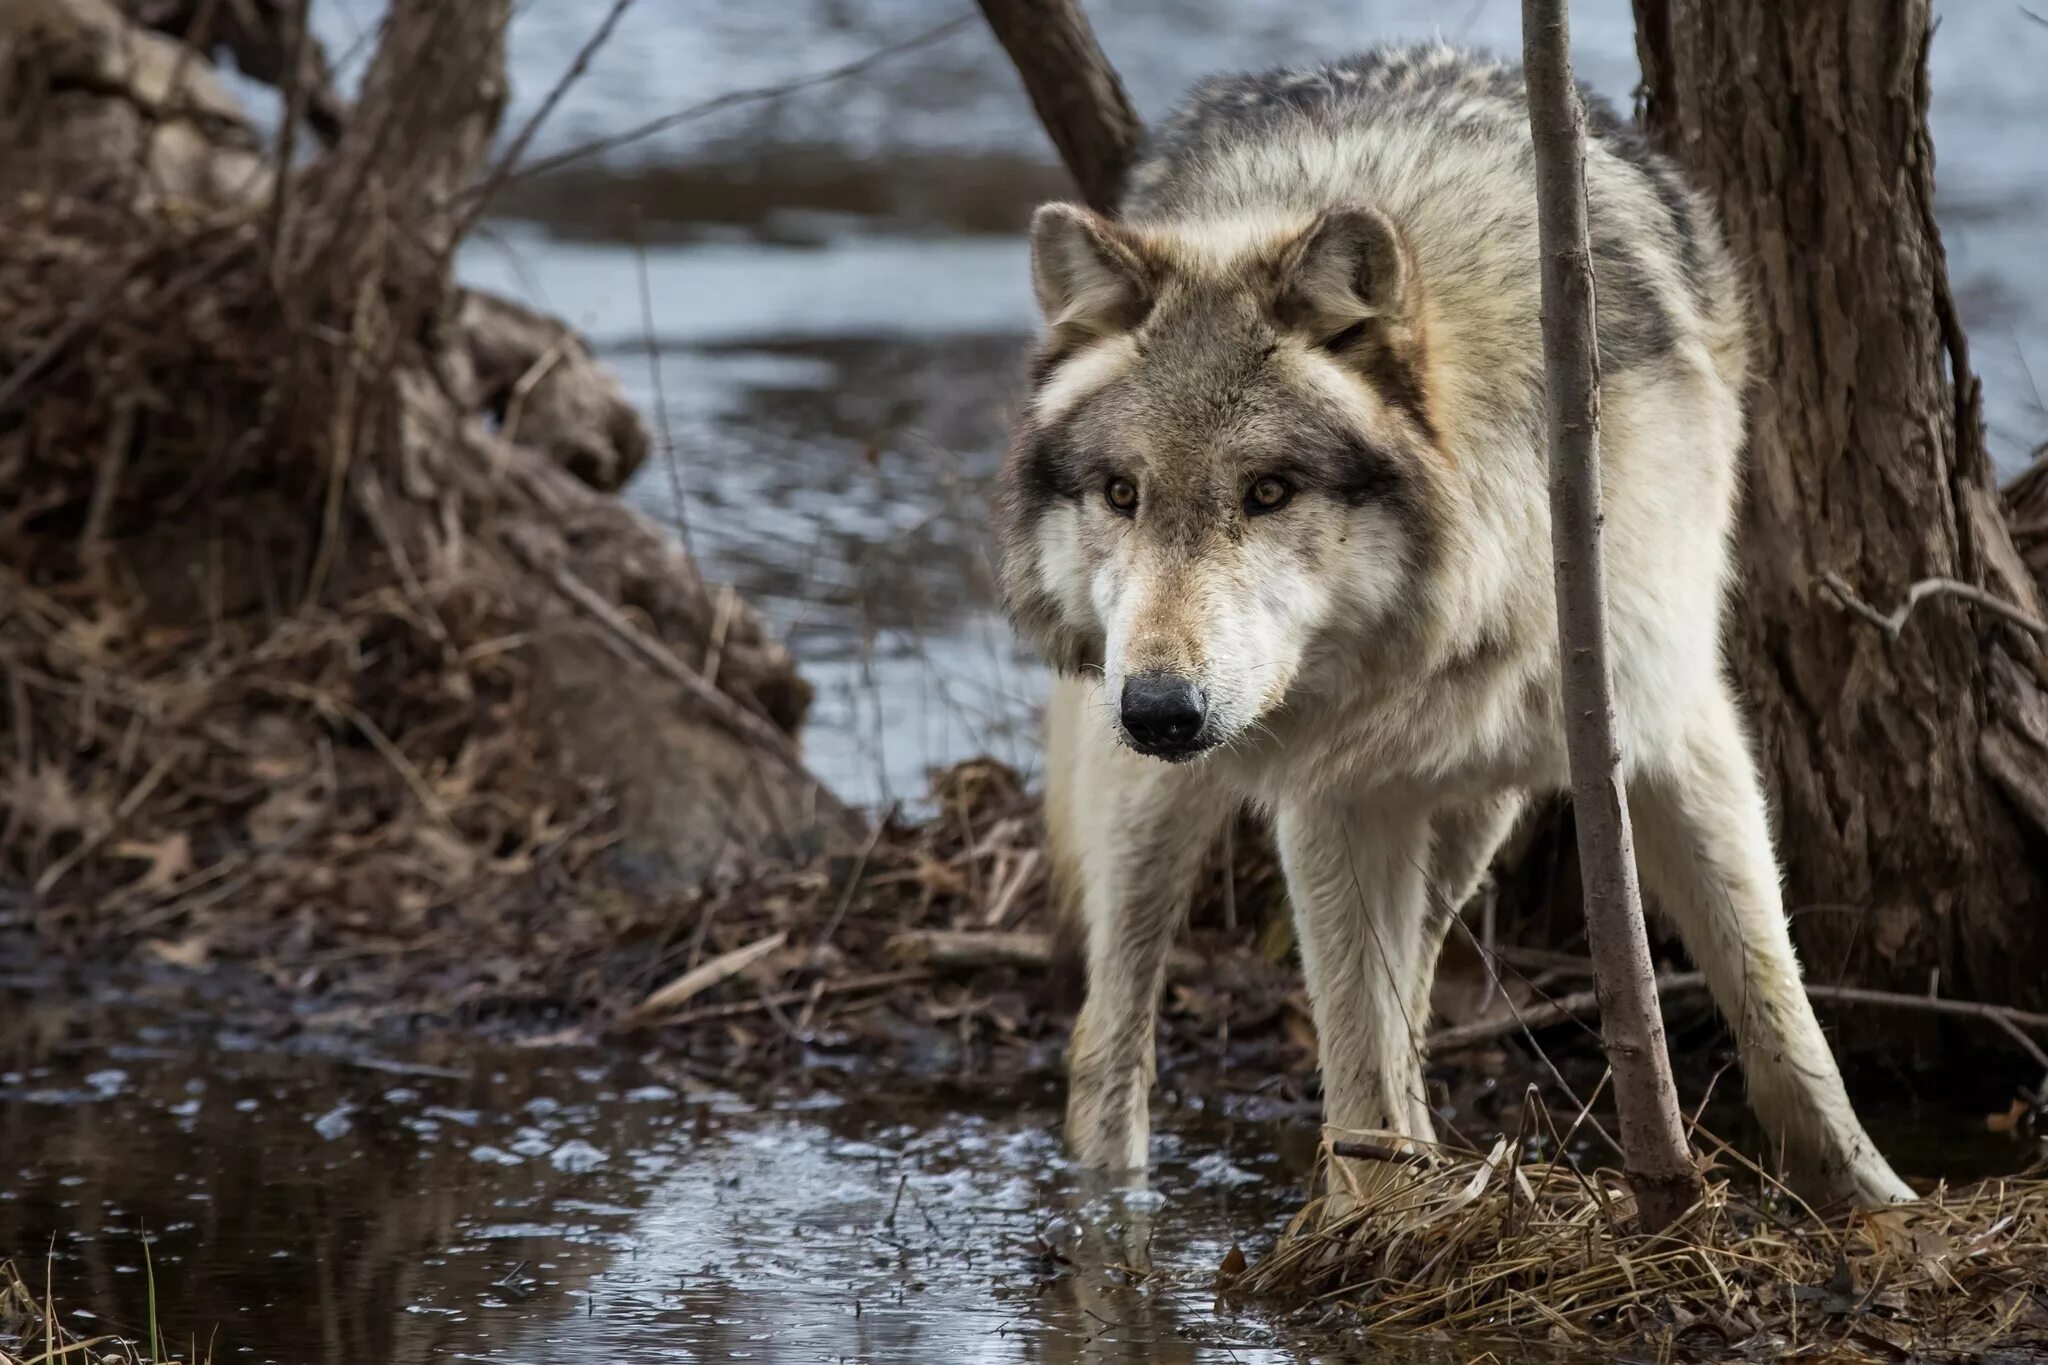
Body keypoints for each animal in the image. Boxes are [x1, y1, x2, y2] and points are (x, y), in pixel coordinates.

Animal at [999, 42, 1908, 1203]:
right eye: (1122, 493)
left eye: (1268, 492)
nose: (1159, 710)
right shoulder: (1330, 789)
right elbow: (1355, 1061)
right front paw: (1376, 1224)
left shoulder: (1674, 727)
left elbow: (1781, 1016)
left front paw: (1876, 1204)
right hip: (1156, 804)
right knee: (1107, 1042)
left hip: (1474, 809)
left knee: (1418, 977)